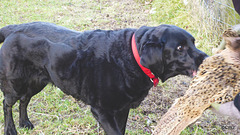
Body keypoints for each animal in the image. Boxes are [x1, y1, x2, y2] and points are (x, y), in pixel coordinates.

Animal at [0, 21, 206, 134]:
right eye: (180, 48)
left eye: (193, 42)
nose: (206, 58)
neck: (132, 57)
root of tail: (14, 28)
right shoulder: (102, 111)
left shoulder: (122, 109)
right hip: (15, 83)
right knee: (7, 103)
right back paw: (11, 130)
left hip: (37, 81)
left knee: (25, 100)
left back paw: (25, 123)